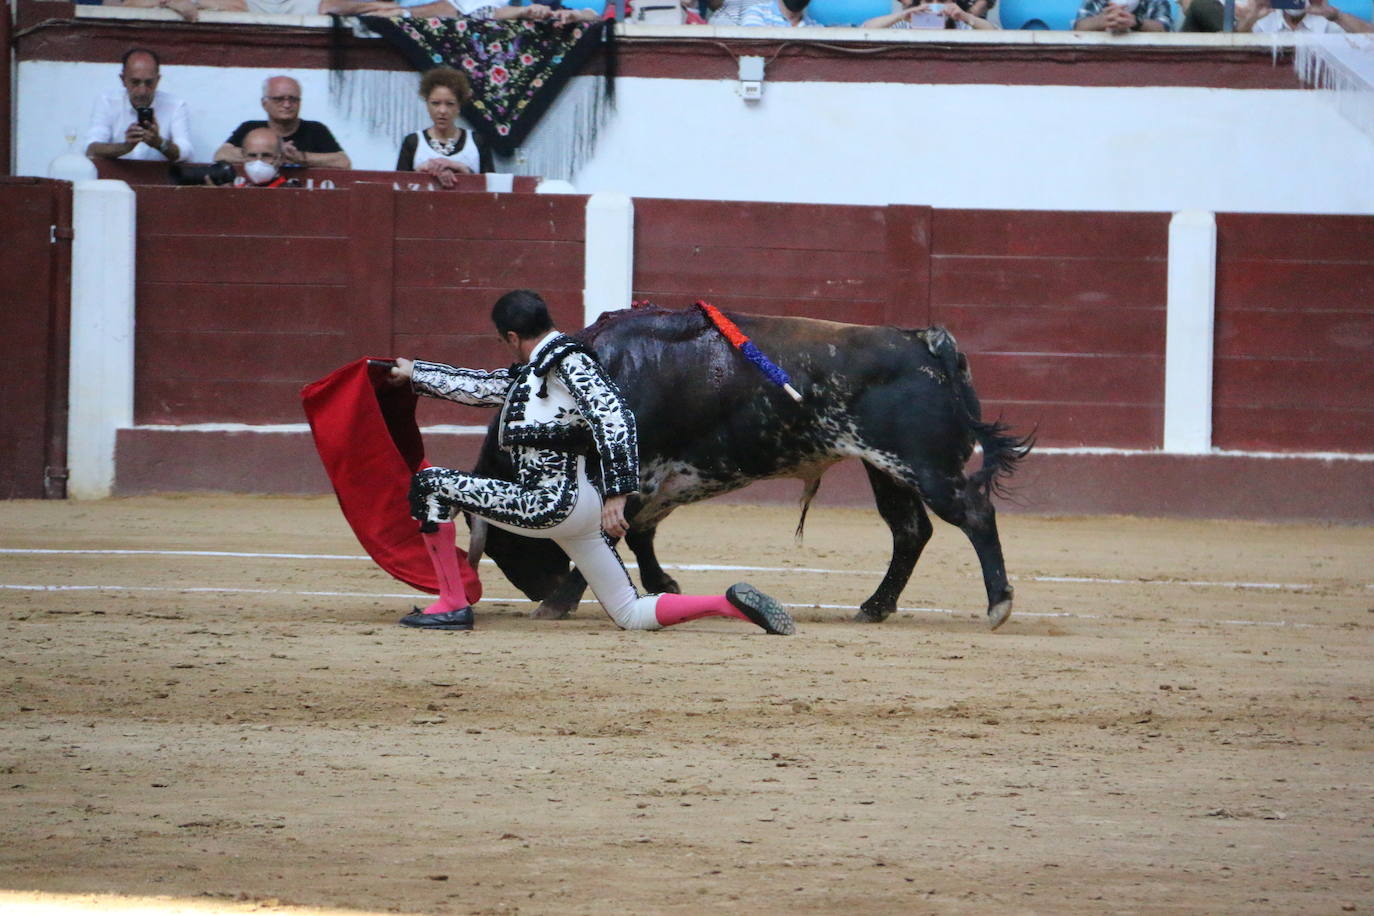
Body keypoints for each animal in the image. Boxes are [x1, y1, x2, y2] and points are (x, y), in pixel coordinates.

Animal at [464, 307, 1033, 631]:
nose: (538, 589)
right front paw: (663, 583)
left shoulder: (634, 478)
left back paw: (998, 606)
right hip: (887, 469)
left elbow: (610, 538)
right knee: (910, 531)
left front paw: (560, 601)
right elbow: (639, 535)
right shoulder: (656, 482)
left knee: (973, 514)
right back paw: (874, 607)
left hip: (926, 466)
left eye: (505, 542)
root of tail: (924, 341)